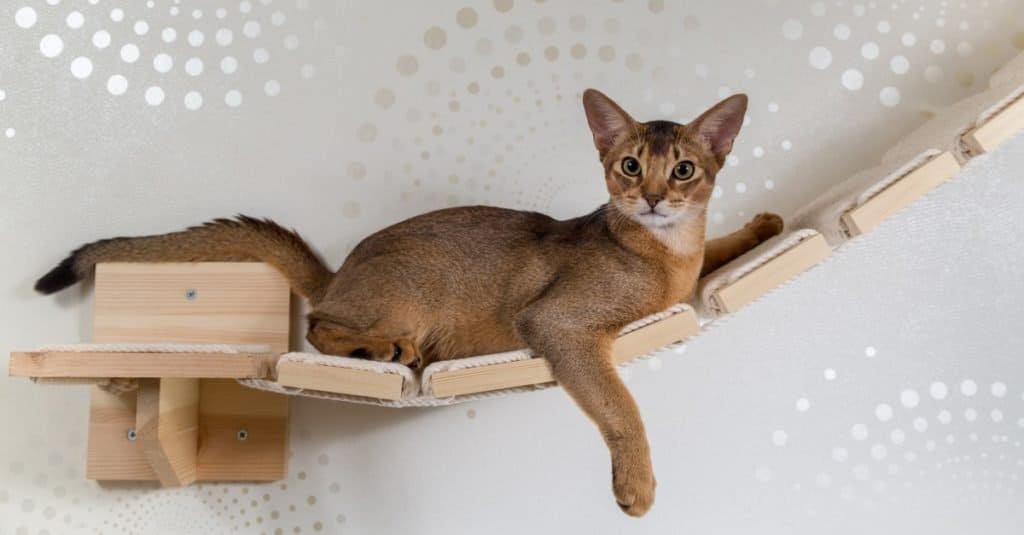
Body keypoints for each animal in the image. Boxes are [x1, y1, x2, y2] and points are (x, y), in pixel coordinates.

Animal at [34, 89, 782, 514]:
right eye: (629, 166)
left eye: (683, 169)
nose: (652, 197)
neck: (662, 254)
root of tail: (341, 270)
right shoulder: (560, 323)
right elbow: (622, 407)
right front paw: (637, 485)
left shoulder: (686, 272)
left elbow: (716, 250)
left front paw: (761, 226)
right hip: (417, 289)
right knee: (318, 325)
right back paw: (384, 348)